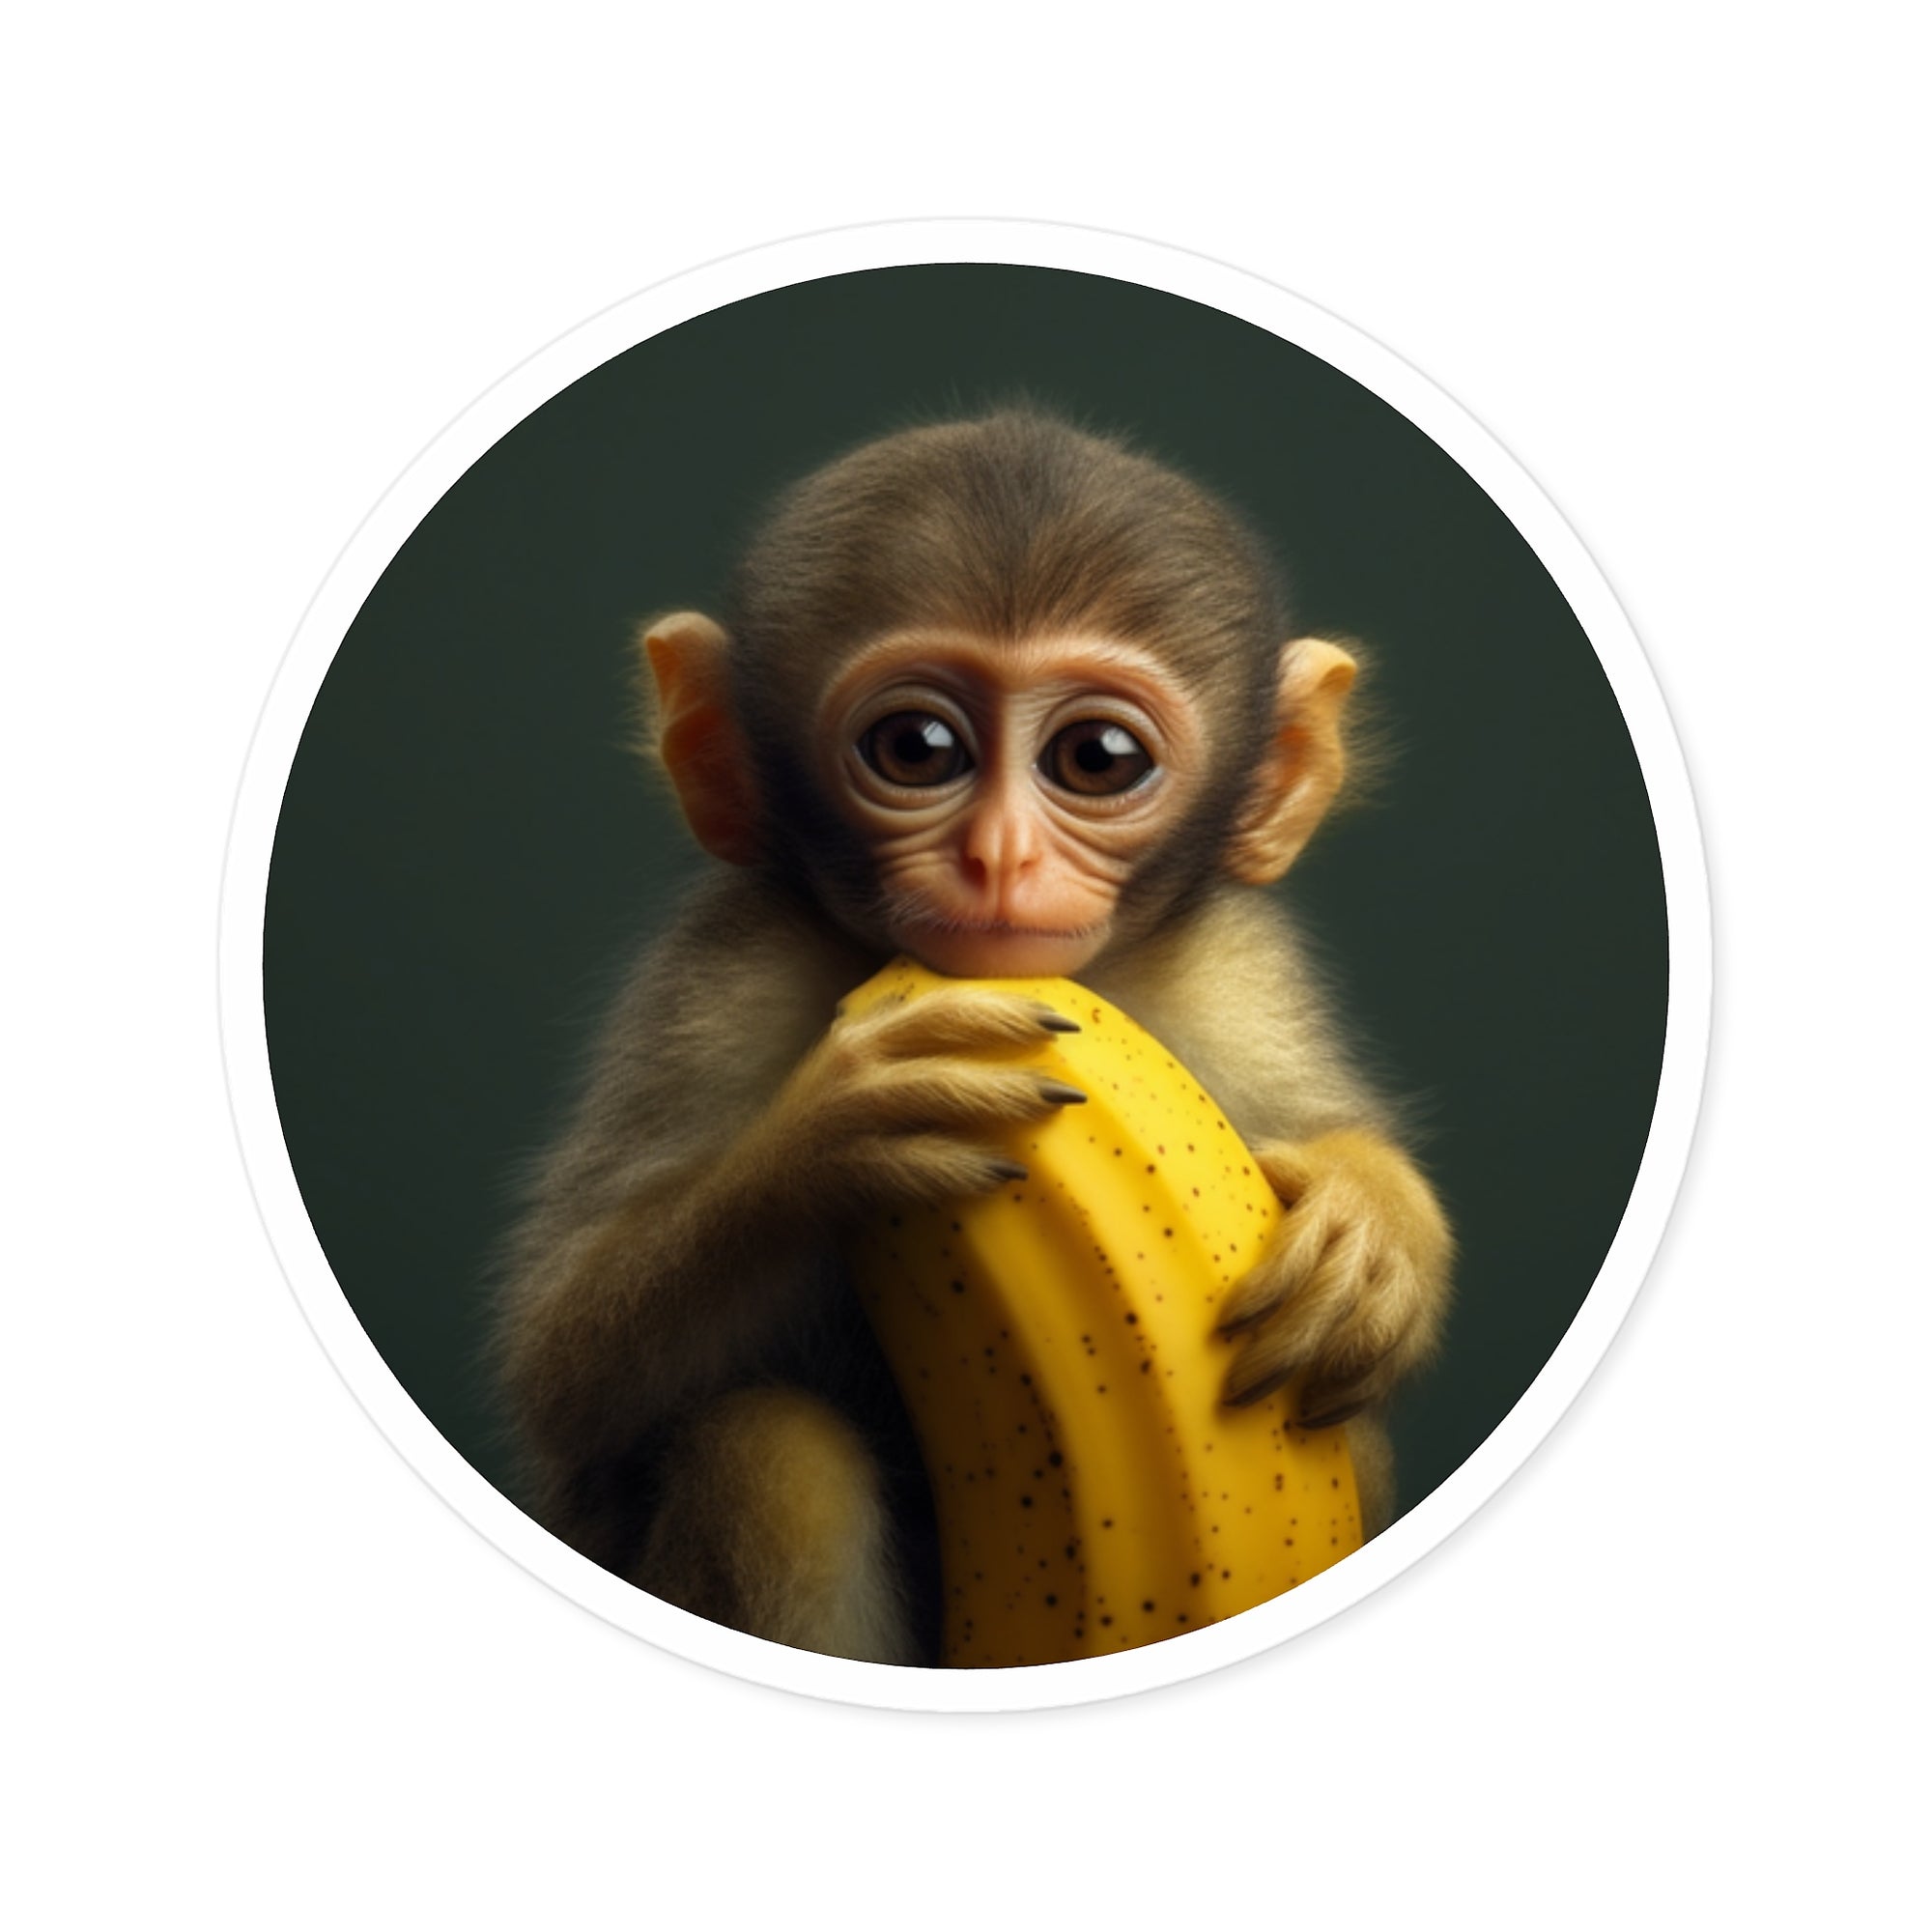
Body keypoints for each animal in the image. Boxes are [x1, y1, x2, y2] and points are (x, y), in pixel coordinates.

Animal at [493, 407, 1452, 1666]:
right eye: (916, 746)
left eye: (1097, 757)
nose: (998, 857)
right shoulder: (720, 977)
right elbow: (564, 1379)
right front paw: (825, 1140)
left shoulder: (1240, 977)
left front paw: (1370, 1222)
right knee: (770, 1458)